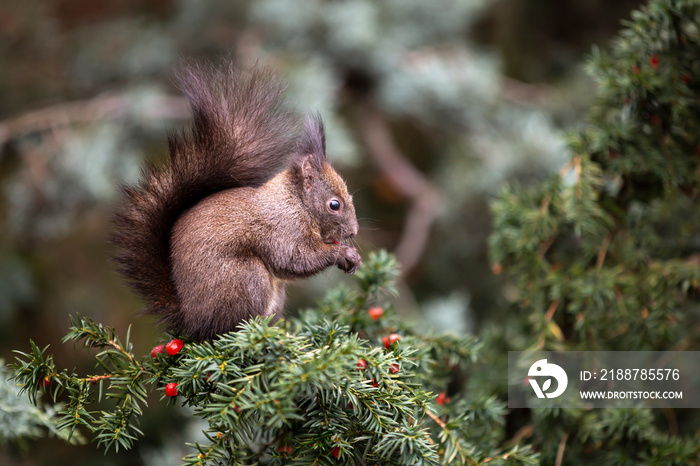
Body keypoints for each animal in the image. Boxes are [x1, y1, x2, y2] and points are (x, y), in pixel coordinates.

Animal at [110, 61, 360, 338]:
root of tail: (191, 320)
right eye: (334, 204)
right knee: (231, 326)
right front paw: (343, 253)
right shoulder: (283, 229)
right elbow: (295, 259)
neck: (295, 202)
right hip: (246, 278)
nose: (354, 231)